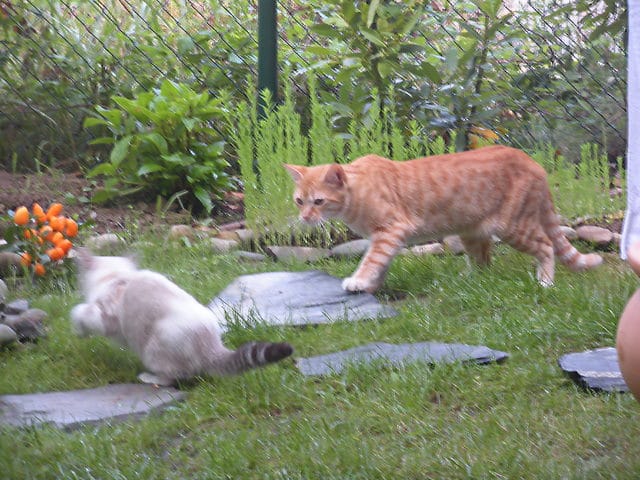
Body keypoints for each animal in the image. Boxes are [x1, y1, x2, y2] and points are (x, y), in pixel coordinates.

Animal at [71, 249, 293, 386]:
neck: (116, 277)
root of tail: (211, 343)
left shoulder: (101, 316)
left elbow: (78, 311)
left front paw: (79, 331)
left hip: (152, 348)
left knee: (175, 378)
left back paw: (147, 377)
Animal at [284, 145, 603, 293]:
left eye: (318, 201)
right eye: (299, 201)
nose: (305, 217)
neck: (357, 193)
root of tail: (534, 163)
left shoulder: (390, 231)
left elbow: (371, 260)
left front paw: (359, 281)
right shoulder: (386, 238)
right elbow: (380, 264)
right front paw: (371, 287)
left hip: (512, 226)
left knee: (546, 245)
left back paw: (545, 282)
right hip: (473, 232)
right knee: (484, 262)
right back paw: (470, 280)